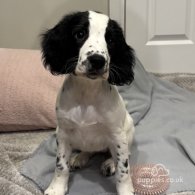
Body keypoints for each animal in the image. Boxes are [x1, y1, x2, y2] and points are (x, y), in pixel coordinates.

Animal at [41, 10, 135, 195]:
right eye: (80, 34)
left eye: (111, 40)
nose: (97, 60)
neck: (87, 92)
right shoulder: (63, 133)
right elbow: (60, 165)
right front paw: (56, 188)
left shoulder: (117, 135)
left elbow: (123, 169)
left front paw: (126, 190)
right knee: (88, 150)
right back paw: (79, 157)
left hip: (128, 131)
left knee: (120, 154)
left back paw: (109, 163)